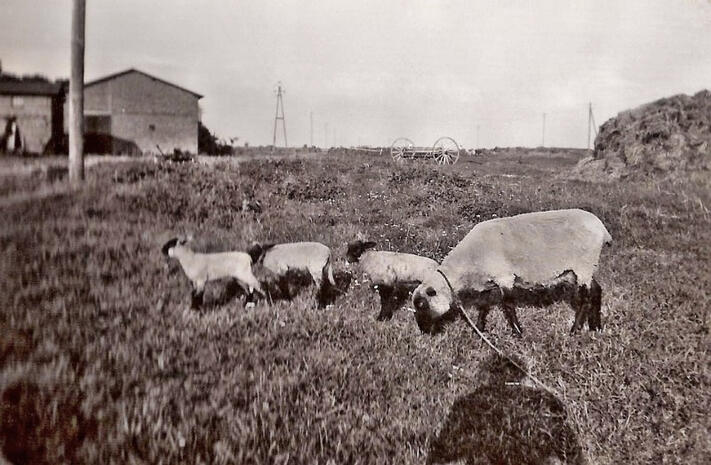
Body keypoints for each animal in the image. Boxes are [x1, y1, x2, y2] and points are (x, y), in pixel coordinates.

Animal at [412, 209, 612, 335]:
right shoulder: (487, 282)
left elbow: (508, 304)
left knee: (585, 298)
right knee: (596, 290)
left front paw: (518, 332)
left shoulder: (504, 277)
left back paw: (575, 330)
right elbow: (483, 305)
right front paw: (479, 329)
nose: (424, 333)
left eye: (422, 305)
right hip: (579, 270)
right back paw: (595, 327)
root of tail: (602, 229)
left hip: (584, 265)